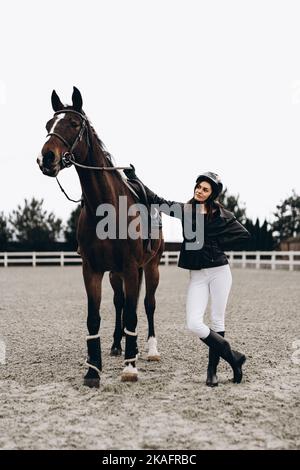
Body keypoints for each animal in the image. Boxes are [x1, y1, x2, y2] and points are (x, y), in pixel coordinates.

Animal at [37, 86, 165, 388]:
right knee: (121, 304)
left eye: (73, 123)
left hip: (150, 267)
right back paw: (121, 345)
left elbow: (134, 313)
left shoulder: (131, 268)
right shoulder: (93, 270)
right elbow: (94, 318)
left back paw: (149, 349)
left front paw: (130, 368)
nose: (46, 158)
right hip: (117, 274)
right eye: (48, 125)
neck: (106, 207)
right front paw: (93, 370)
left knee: (148, 305)